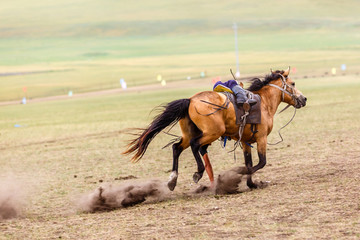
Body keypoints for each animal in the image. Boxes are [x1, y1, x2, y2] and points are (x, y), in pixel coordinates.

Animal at [124, 66, 306, 190]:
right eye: (293, 83)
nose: (303, 99)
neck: (263, 103)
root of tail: (190, 100)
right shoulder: (262, 138)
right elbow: (261, 162)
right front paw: (238, 175)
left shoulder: (246, 141)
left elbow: (249, 163)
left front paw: (251, 184)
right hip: (212, 132)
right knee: (195, 145)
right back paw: (198, 172)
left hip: (190, 134)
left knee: (177, 147)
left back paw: (172, 180)